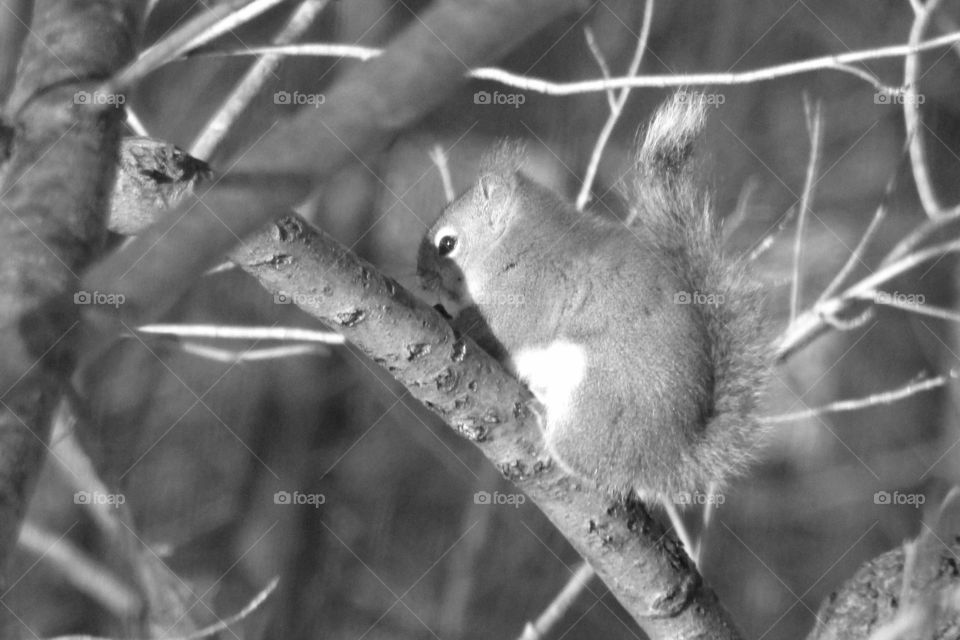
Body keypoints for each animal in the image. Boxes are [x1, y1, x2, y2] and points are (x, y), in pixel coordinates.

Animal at [416, 94, 768, 504]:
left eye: (447, 244)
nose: (420, 276)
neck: (514, 245)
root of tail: (665, 457)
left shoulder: (533, 290)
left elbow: (508, 327)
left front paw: (458, 320)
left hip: (596, 397)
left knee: (585, 459)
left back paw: (544, 418)